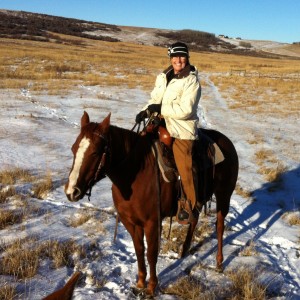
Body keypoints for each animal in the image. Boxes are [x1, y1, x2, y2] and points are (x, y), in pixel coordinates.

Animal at [64, 111, 238, 296]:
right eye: (74, 148)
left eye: (96, 152)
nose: (71, 191)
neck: (134, 173)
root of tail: (226, 141)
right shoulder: (130, 222)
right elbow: (139, 250)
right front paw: (140, 282)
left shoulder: (152, 222)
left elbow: (151, 253)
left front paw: (151, 287)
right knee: (194, 219)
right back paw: (184, 251)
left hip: (223, 196)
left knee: (219, 226)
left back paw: (219, 263)